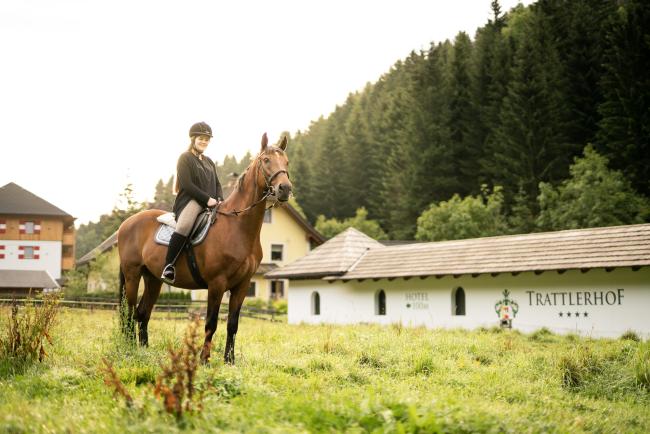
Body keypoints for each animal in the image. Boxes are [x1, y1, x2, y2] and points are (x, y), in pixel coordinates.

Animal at [115, 133, 290, 362]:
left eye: (286, 162)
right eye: (267, 160)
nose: (285, 189)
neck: (237, 226)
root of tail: (126, 224)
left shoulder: (242, 285)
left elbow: (232, 324)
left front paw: (229, 360)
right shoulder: (217, 284)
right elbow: (211, 323)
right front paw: (204, 360)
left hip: (153, 279)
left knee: (143, 313)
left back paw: (144, 351)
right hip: (132, 275)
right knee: (129, 312)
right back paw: (129, 350)